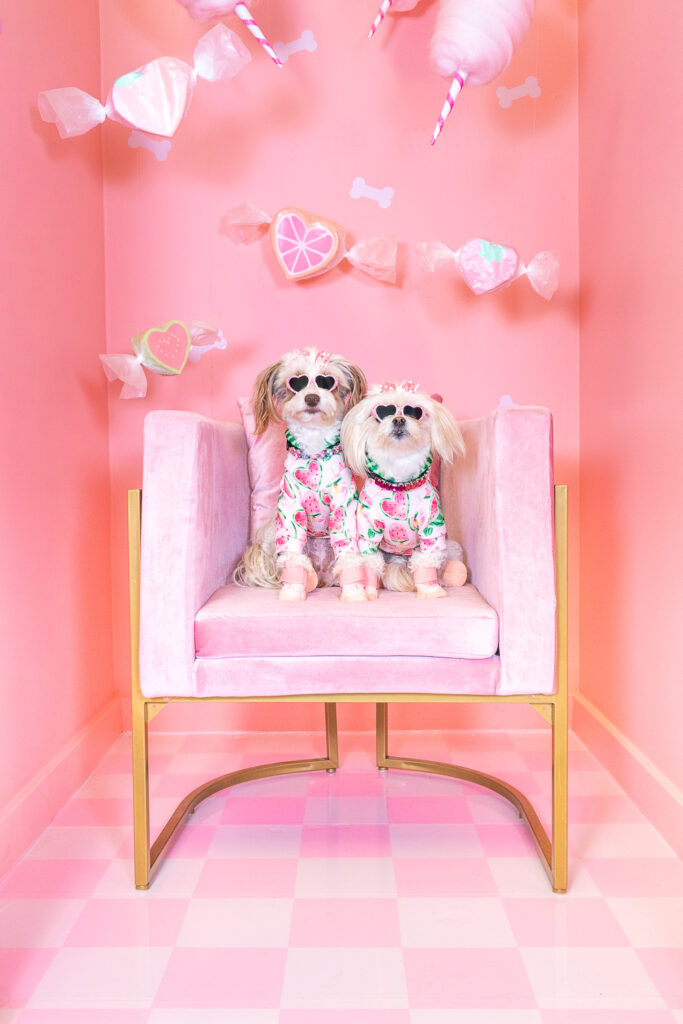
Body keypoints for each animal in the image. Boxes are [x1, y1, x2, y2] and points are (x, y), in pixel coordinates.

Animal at [233, 348, 368, 598]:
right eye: (296, 381)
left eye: (327, 382)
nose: (312, 398)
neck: (315, 452)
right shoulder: (290, 506)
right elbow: (293, 553)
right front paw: (292, 591)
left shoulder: (343, 506)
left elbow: (347, 549)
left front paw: (354, 591)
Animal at [342, 380, 471, 598]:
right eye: (383, 412)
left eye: (414, 412)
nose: (399, 420)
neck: (399, 485)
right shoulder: (368, 532)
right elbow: (370, 562)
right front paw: (369, 591)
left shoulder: (431, 529)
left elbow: (426, 562)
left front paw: (429, 590)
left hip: (450, 546)